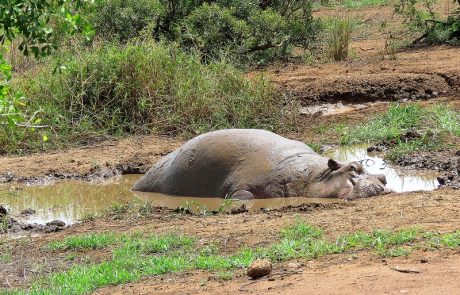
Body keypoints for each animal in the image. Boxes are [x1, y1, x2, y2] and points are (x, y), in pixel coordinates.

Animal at [132, 130, 392, 201]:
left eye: (384, 177)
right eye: (352, 168)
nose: (380, 182)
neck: (312, 176)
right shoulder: (242, 184)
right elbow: (242, 195)